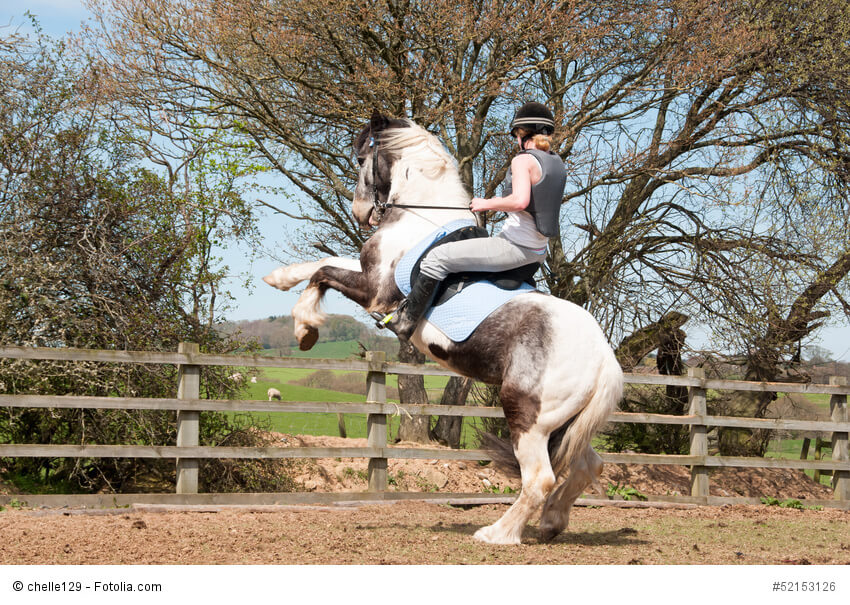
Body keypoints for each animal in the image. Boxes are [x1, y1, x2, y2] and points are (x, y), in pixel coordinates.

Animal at [263, 112, 624, 544]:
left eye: (362, 157)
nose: (360, 213)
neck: (420, 215)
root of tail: (604, 358)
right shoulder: (369, 275)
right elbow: (323, 262)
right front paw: (280, 279)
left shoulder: (375, 290)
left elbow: (324, 272)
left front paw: (305, 328)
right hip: (566, 424)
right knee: (589, 466)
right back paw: (551, 524)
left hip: (529, 417)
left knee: (540, 478)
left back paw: (498, 533)